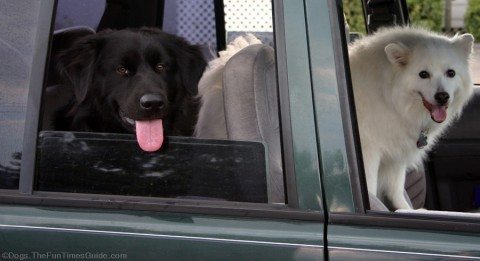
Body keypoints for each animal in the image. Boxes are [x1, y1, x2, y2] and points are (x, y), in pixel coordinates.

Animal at [348, 26, 476, 209]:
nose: (442, 96)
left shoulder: (396, 155)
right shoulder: (369, 152)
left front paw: (405, 209)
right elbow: (370, 189)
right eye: (423, 74)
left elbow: (396, 189)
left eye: (451, 73)